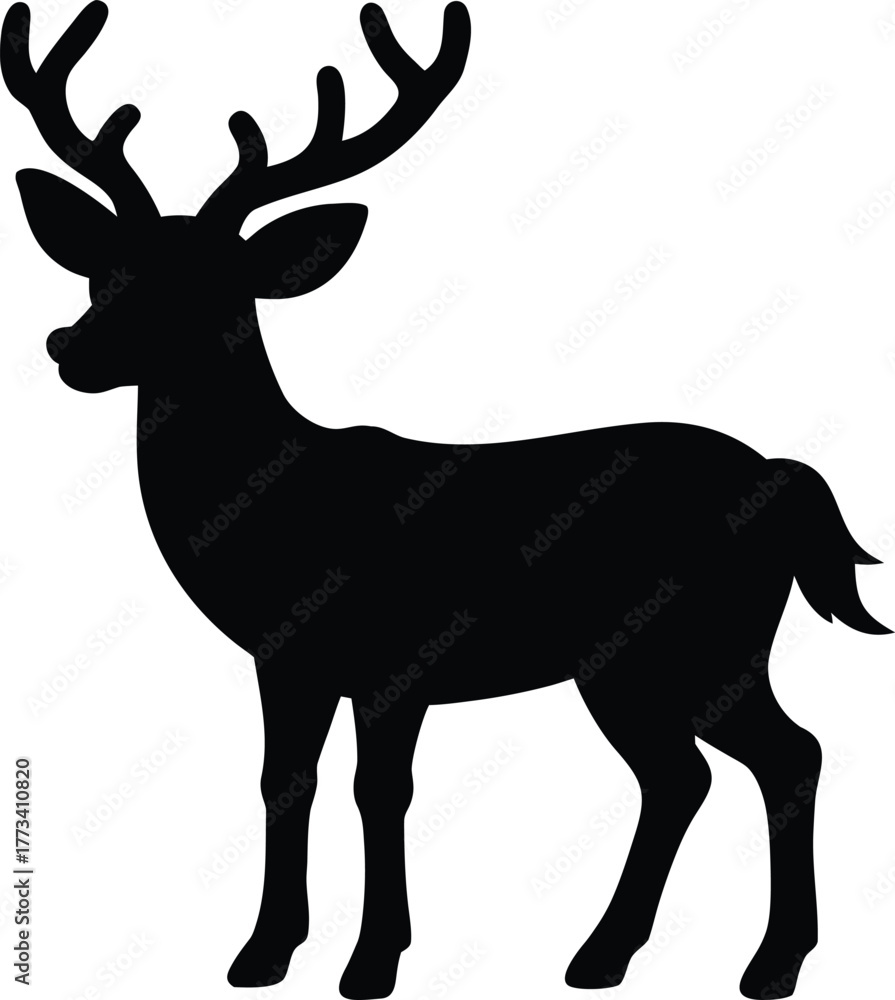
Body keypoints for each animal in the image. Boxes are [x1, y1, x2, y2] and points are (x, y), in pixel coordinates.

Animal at [3, 1, 889, 997]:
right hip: (633, 664)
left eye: (213, 286)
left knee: (786, 754)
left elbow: (378, 791)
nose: (68, 345)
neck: (278, 505)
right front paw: (263, 953)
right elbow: (283, 781)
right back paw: (604, 955)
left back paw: (766, 965)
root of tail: (785, 478)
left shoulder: (399, 652)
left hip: (704, 641)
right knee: (683, 775)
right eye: (100, 269)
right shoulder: (285, 659)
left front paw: (370, 963)